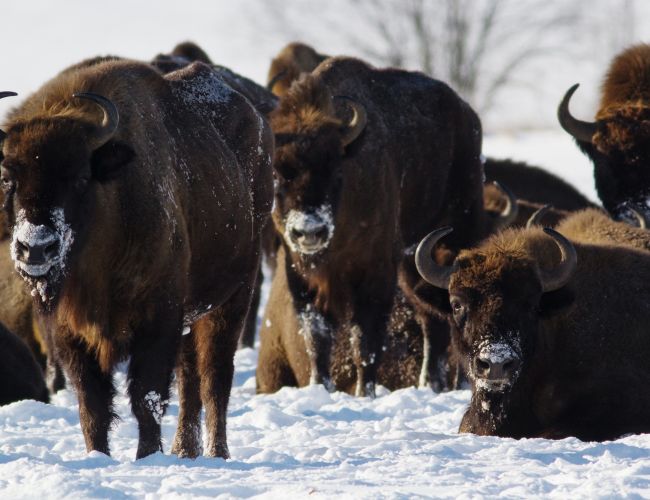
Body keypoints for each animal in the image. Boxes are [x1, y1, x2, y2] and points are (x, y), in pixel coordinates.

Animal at [0, 54, 272, 458]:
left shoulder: (157, 317)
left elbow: (147, 396)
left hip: (235, 295)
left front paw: (147, 455)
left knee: (215, 379)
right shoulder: (70, 333)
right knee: (190, 381)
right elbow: (93, 404)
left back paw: (216, 453)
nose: (35, 247)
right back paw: (184, 450)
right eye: (8, 178)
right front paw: (98, 456)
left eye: (80, 177)